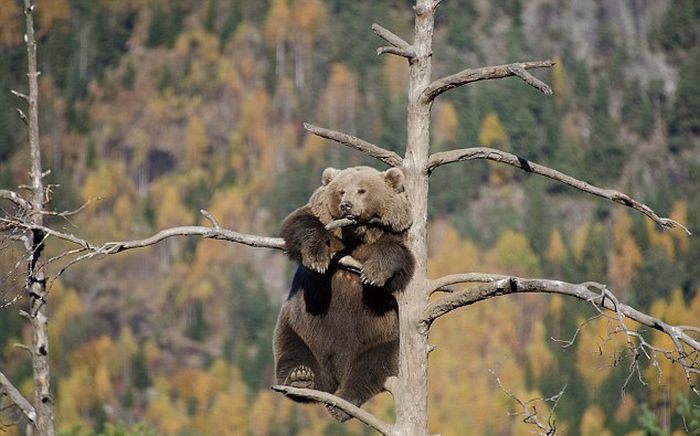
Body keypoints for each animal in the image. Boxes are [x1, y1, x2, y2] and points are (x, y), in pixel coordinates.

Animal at [274, 165, 416, 420]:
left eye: (362, 190)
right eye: (341, 191)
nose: (346, 205)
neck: (358, 234)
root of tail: (333, 378)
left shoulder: (396, 236)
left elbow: (397, 255)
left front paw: (373, 273)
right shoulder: (321, 221)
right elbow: (300, 224)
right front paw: (317, 258)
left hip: (386, 338)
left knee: (371, 367)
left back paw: (342, 403)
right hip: (298, 329)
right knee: (292, 351)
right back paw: (300, 378)